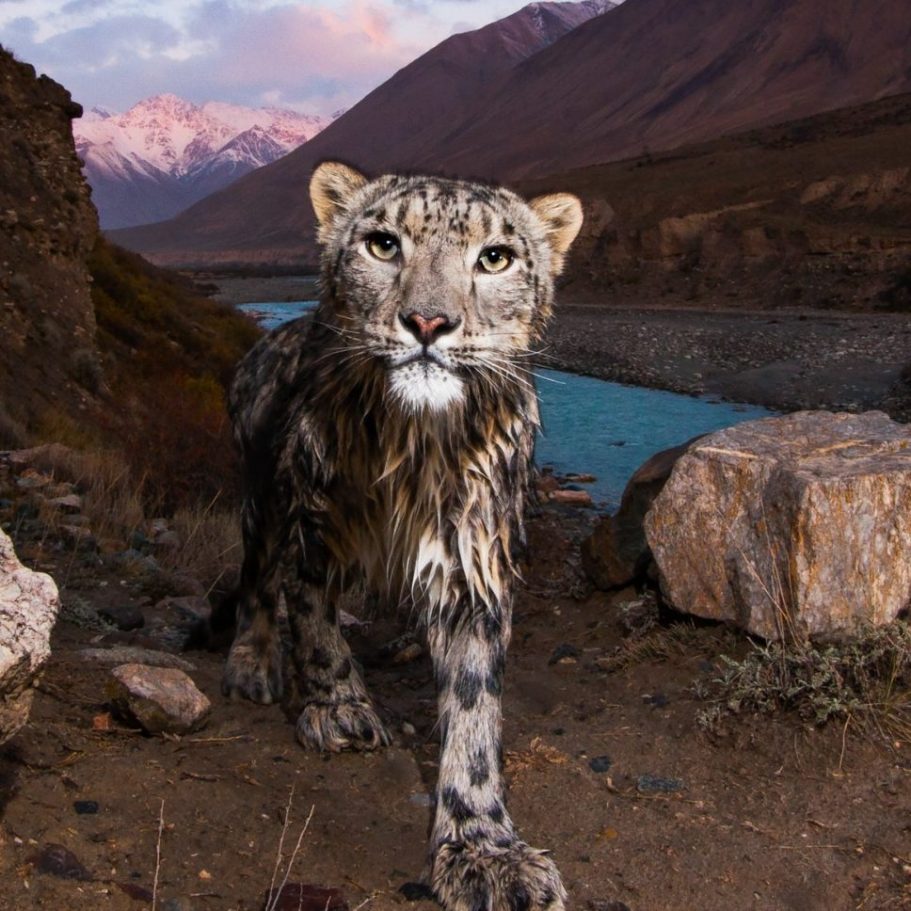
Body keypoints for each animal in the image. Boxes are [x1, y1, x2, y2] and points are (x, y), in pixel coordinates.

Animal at [223, 160, 583, 911]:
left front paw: (482, 848)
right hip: (262, 498)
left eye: (496, 257)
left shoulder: (474, 562)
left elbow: (474, 708)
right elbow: (315, 624)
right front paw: (340, 709)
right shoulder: (312, 529)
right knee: (256, 581)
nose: (427, 321)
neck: (413, 450)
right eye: (383, 243)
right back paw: (252, 663)